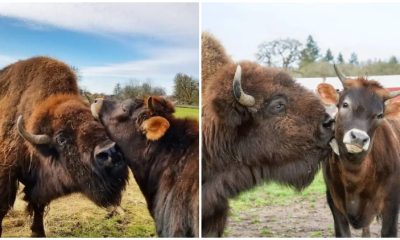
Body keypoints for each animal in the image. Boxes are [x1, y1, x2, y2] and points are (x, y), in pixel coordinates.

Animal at [0, 57, 128, 237]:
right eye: (61, 139)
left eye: (97, 123)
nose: (111, 152)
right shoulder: (7, 172)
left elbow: (38, 205)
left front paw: (38, 232)